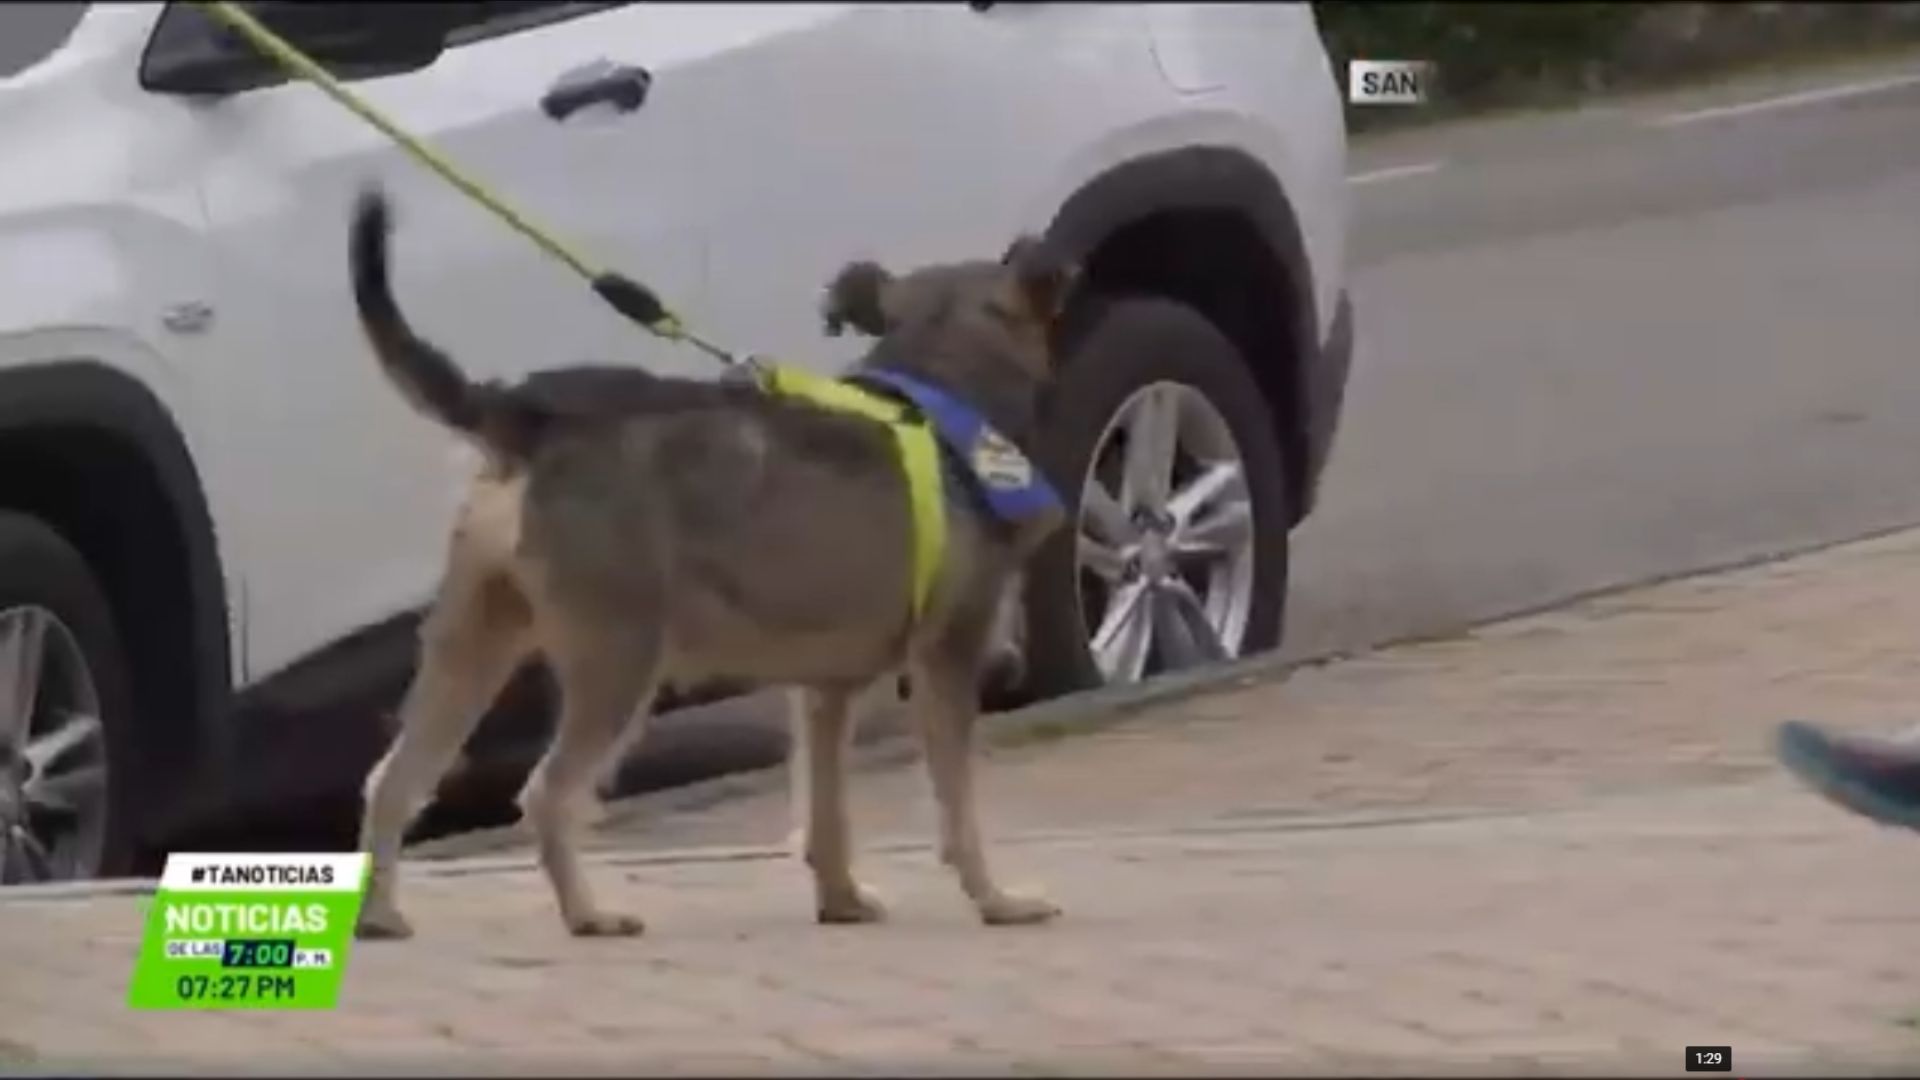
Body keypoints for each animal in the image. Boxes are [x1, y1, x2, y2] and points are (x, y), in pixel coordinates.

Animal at [351, 184, 1075, 933]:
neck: (939, 395)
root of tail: (526, 413)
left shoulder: (826, 688)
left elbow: (827, 811)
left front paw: (841, 898)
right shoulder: (947, 660)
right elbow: (958, 809)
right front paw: (995, 899)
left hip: (474, 641)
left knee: (393, 780)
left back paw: (380, 914)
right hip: (618, 658)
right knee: (547, 793)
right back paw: (587, 914)